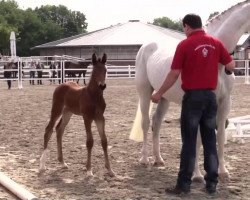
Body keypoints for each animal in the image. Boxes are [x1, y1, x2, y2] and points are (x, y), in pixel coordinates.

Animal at [130, 0, 250, 181]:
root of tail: (145, 47)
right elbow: (198, 139)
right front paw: (197, 174)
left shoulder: (224, 103)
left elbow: (220, 136)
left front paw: (222, 171)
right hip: (145, 92)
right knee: (146, 123)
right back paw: (144, 159)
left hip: (163, 98)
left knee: (156, 124)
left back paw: (158, 159)